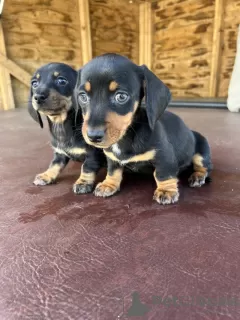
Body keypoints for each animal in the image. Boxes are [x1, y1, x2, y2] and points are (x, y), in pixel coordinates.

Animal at [27, 61, 104, 194]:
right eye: (34, 83)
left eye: (61, 81)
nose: (38, 97)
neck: (61, 125)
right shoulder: (59, 153)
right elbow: (54, 165)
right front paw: (46, 175)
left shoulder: (93, 153)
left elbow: (87, 167)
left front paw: (83, 182)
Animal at [75, 53, 212, 204]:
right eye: (82, 96)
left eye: (121, 96)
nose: (93, 136)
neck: (125, 138)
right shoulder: (112, 158)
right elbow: (113, 171)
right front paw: (108, 184)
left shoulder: (164, 156)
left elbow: (163, 174)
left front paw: (166, 190)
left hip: (201, 151)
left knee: (204, 167)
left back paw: (198, 176)